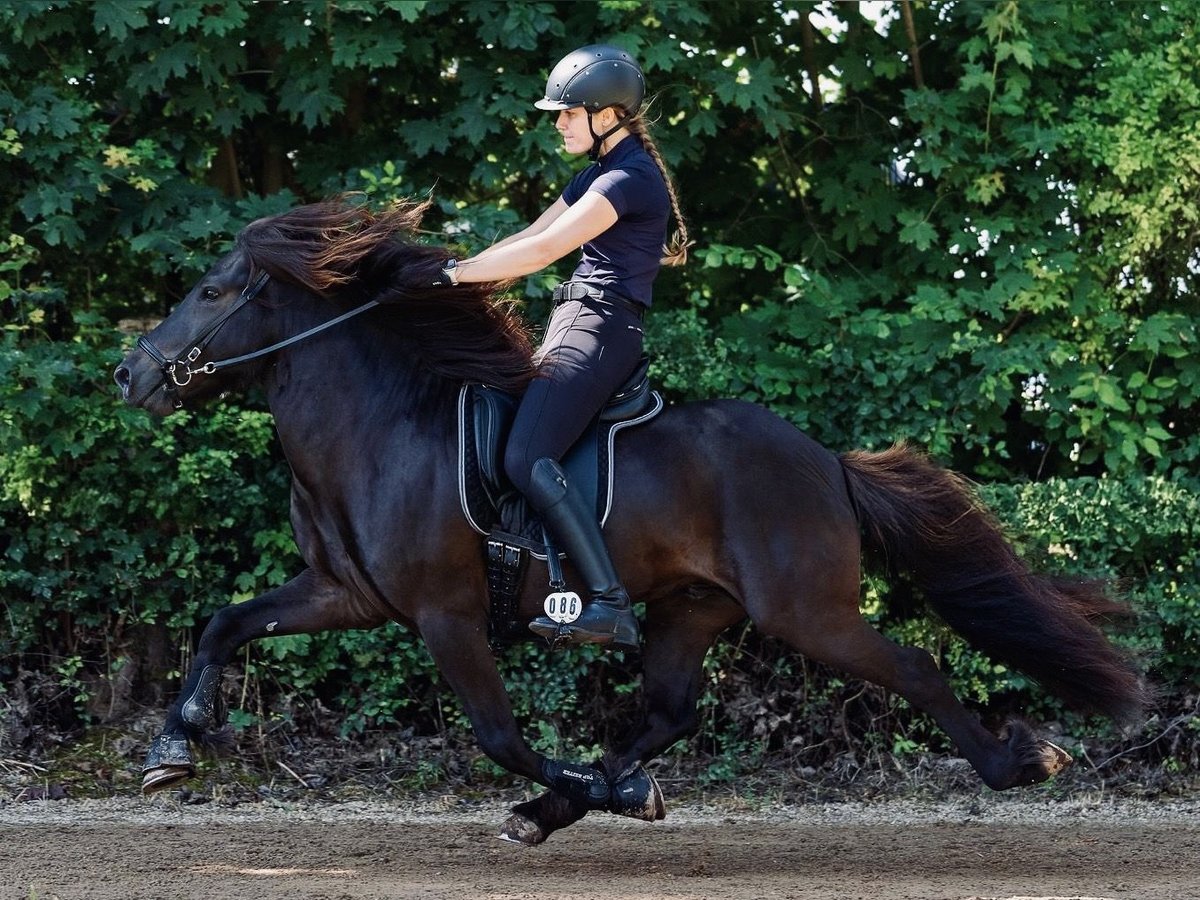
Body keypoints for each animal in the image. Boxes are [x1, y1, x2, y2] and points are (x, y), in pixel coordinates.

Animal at [117, 200, 1147, 849]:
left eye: (213, 292)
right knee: (670, 710)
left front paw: (579, 788)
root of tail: (825, 462)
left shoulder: (446, 616)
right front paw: (173, 750)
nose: (130, 376)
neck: (381, 428)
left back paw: (1019, 760)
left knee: (915, 670)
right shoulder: (346, 594)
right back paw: (587, 798)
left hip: (807, 611)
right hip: (694, 606)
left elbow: (498, 735)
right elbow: (224, 624)